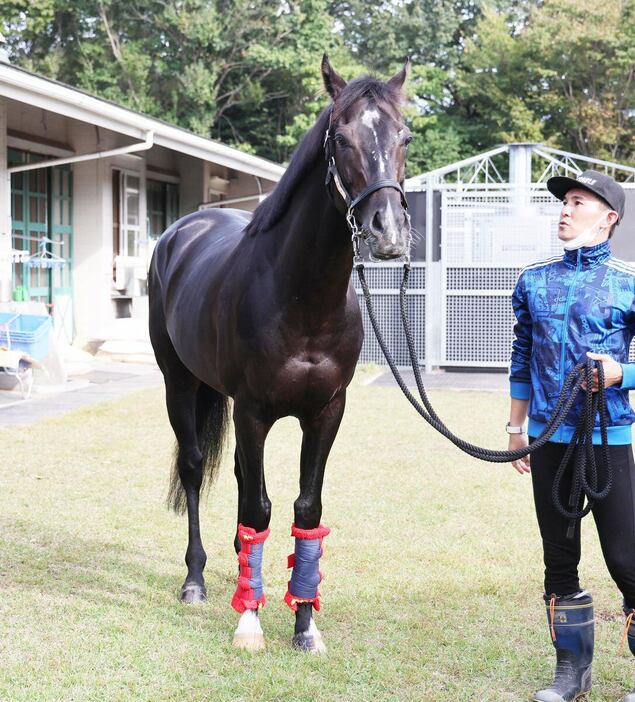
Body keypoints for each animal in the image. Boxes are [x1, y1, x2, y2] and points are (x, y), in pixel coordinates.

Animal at [149, 56, 412, 656]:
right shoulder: (253, 411)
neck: (301, 298)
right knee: (196, 467)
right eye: (342, 139)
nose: (388, 233)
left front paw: (305, 622)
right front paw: (250, 623)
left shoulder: (327, 412)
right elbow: (259, 506)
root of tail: (183, 230)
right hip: (179, 384)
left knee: (242, 477)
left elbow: (304, 509)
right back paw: (197, 579)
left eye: (404, 137)